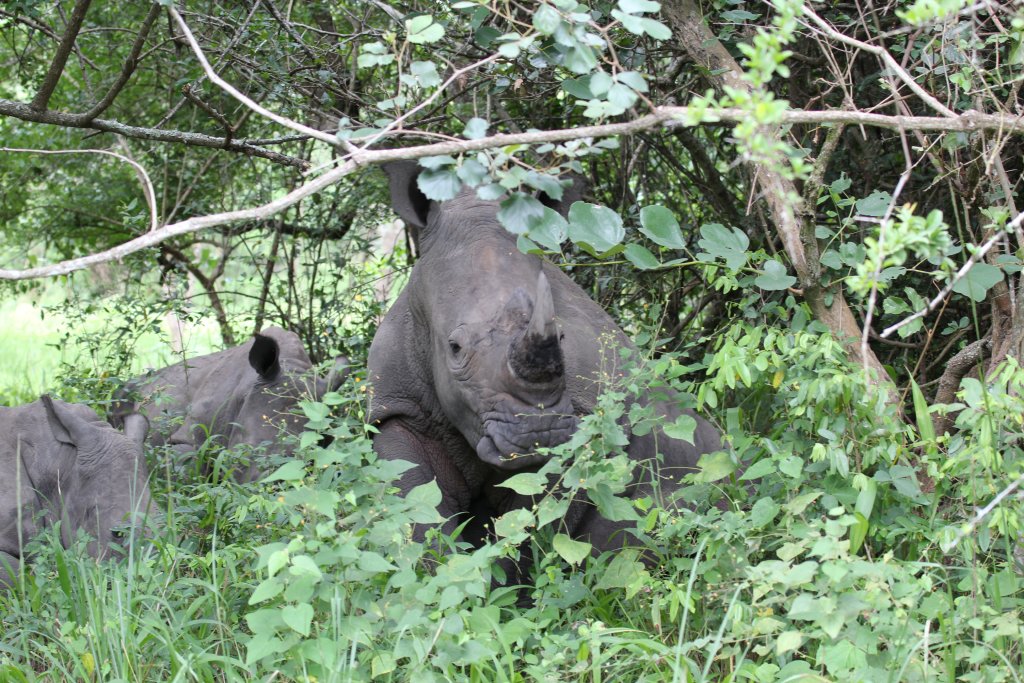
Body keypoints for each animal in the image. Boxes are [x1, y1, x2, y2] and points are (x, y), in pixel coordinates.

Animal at [368, 161, 722, 565]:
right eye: (454, 348)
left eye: (562, 337)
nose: (539, 433)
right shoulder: (397, 406)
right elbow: (417, 509)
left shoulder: (582, 422)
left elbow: (531, 524)